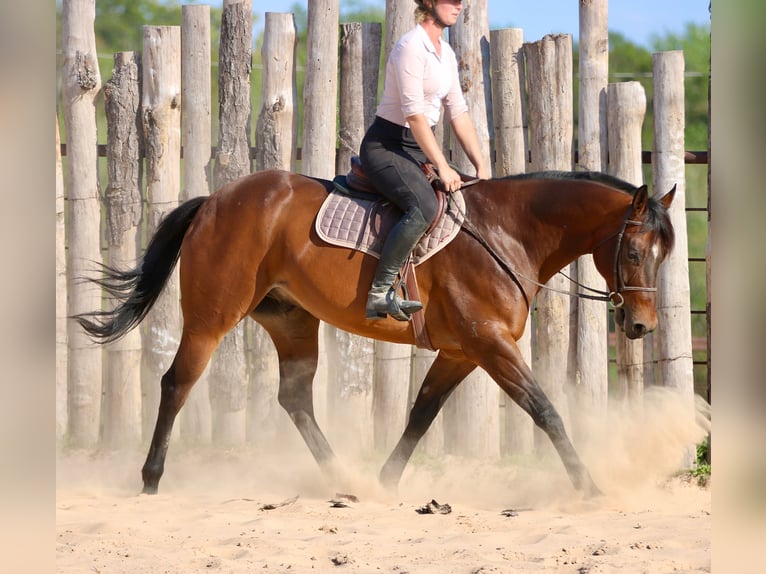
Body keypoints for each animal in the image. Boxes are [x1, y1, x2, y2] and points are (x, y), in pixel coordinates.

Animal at [75, 168, 676, 497]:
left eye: (663, 254)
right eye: (632, 252)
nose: (641, 325)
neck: (507, 233)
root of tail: (216, 200)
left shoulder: (462, 352)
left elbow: (421, 415)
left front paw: (386, 485)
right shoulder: (489, 344)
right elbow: (545, 410)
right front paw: (589, 487)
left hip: (292, 321)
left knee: (294, 397)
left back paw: (344, 480)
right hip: (211, 318)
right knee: (177, 383)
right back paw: (151, 477)